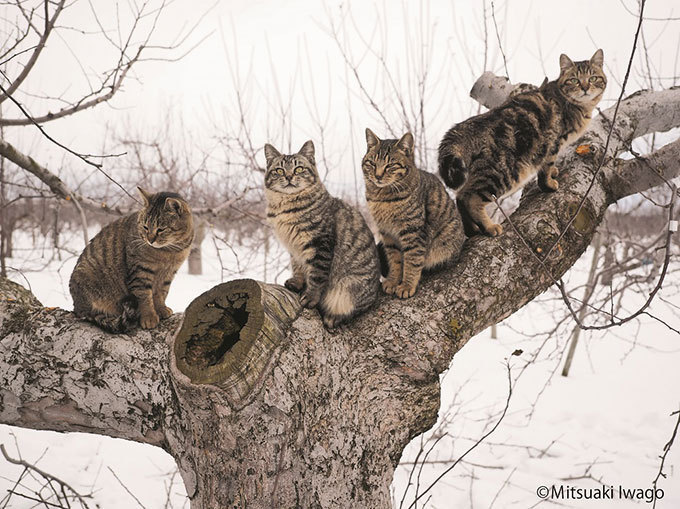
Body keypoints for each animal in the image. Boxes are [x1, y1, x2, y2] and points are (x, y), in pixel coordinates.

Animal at [70, 188, 194, 334]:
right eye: (145, 227)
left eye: (161, 229)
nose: (150, 240)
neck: (169, 252)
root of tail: (77, 307)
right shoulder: (140, 271)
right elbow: (144, 296)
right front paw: (149, 317)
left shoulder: (168, 274)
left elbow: (161, 293)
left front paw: (161, 309)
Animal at [262, 140, 380, 330]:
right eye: (279, 170)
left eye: (298, 169)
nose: (288, 177)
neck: (285, 207)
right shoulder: (294, 249)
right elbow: (298, 267)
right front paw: (297, 283)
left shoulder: (320, 242)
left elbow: (316, 276)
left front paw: (310, 297)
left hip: (349, 289)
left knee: (353, 310)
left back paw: (333, 317)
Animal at [362, 129, 468, 300]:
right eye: (372, 163)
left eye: (390, 165)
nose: (378, 176)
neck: (382, 197)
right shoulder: (387, 234)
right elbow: (394, 260)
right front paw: (393, 281)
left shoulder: (413, 232)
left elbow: (412, 260)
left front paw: (406, 285)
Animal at [438, 49, 608, 236]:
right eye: (574, 80)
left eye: (593, 78)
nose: (585, 88)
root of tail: (467, 126)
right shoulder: (553, 143)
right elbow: (546, 168)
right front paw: (549, 184)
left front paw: (554, 172)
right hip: (503, 172)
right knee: (469, 198)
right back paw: (489, 227)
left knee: (460, 196)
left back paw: (472, 230)